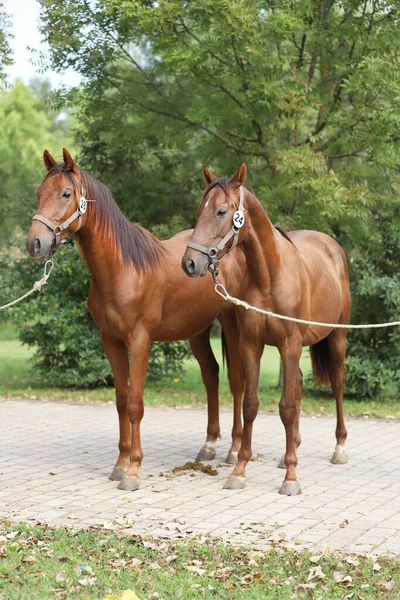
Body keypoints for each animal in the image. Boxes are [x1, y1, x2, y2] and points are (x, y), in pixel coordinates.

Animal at [26, 150, 245, 492]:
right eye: (39, 193)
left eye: (65, 194)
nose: (34, 243)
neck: (123, 269)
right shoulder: (111, 341)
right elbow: (120, 400)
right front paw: (119, 464)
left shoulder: (140, 340)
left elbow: (135, 403)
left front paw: (133, 471)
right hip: (196, 331)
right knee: (211, 375)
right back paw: (208, 446)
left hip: (232, 325)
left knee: (236, 381)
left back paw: (234, 451)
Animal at [183, 164, 352, 496]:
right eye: (199, 210)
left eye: (221, 211)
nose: (190, 263)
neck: (271, 276)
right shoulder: (252, 344)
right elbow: (251, 404)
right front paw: (239, 470)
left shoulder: (289, 344)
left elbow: (286, 407)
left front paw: (291, 477)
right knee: (298, 385)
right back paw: (293, 448)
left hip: (337, 337)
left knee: (337, 384)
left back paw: (339, 448)